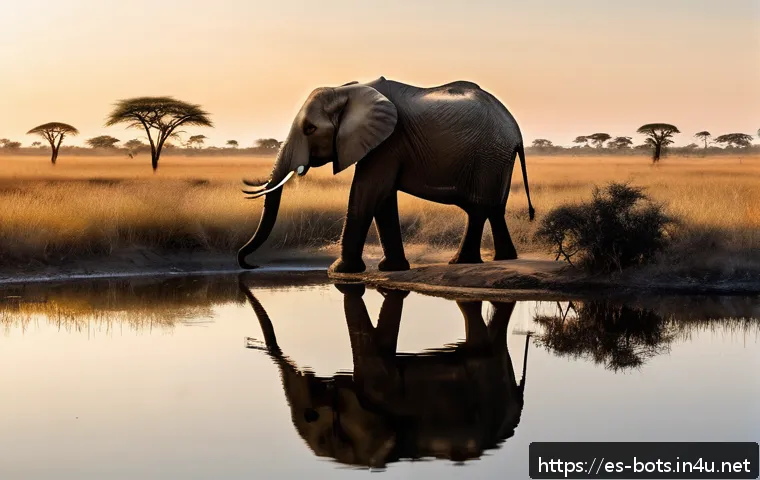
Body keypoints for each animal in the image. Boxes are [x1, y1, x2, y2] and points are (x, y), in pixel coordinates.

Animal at [238, 77, 535, 273]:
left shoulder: (388, 142)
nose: (250, 264)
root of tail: (516, 131)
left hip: (488, 156)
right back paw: (504, 259)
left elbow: (367, 193)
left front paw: (339, 271)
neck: (346, 90)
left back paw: (461, 262)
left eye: (310, 129)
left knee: (478, 209)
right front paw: (391, 268)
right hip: (497, 159)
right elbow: (382, 200)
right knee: (494, 209)